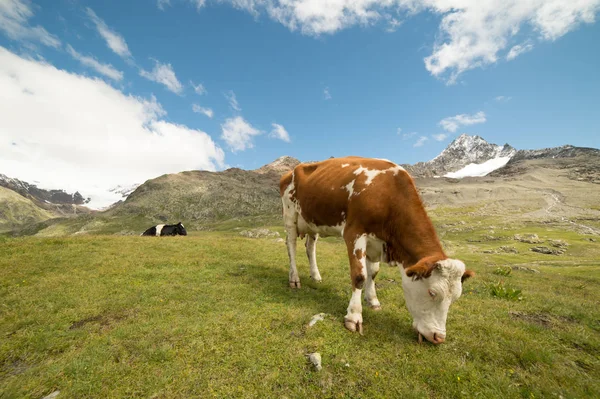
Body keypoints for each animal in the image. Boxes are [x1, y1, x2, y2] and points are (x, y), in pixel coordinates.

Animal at [282, 156, 474, 344]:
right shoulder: (354, 233)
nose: (438, 338)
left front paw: (373, 301)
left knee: (310, 247)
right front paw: (354, 317)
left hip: (312, 221)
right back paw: (294, 279)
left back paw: (316, 276)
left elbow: (373, 273)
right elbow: (359, 276)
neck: (387, 193)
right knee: (291, 246)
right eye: (432, 292)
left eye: (455, 297)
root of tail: (292, 170)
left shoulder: (376, 242)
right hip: (290, 215)